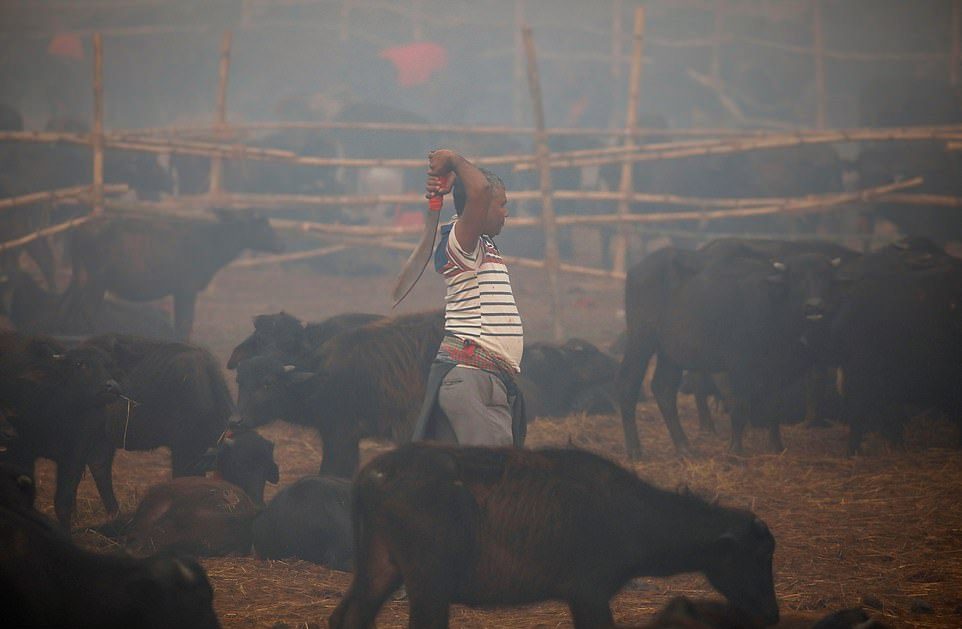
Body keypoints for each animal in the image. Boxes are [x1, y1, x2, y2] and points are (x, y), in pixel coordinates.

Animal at [330, 442, 780, 628]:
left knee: (349, 617)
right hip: (428, 583)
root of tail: (372, 474)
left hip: (380, 566)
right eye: (759, 556)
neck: (630, 515)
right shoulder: (588, 593)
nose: (772, 614)